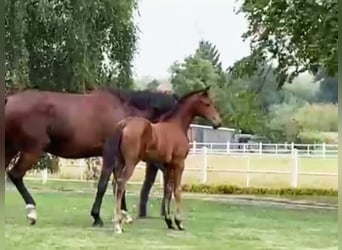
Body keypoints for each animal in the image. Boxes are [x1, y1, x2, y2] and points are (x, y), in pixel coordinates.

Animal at [4, 87, 179, 226]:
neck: (124, 112)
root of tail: (9, 100)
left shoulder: (117, 158)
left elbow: (118, 183)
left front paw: (123, 214)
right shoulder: (109, 153)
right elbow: (103, 184)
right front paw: (97, 217)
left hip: (10, 149)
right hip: (31, 151)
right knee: (15, 175)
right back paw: (32, 212)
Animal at [104, 86, 222, 232]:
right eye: (208, 104)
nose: (218, 122)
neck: (176, 126)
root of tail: (124, 124)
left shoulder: (167, 166)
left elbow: (168, 190)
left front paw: (169, 221)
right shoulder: (179, 164)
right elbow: (177, 190)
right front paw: (179, 222)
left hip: (120, 162)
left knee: (116, 184)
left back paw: (119, 220)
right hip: (131, 162)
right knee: (121, 184)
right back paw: (118, 225)